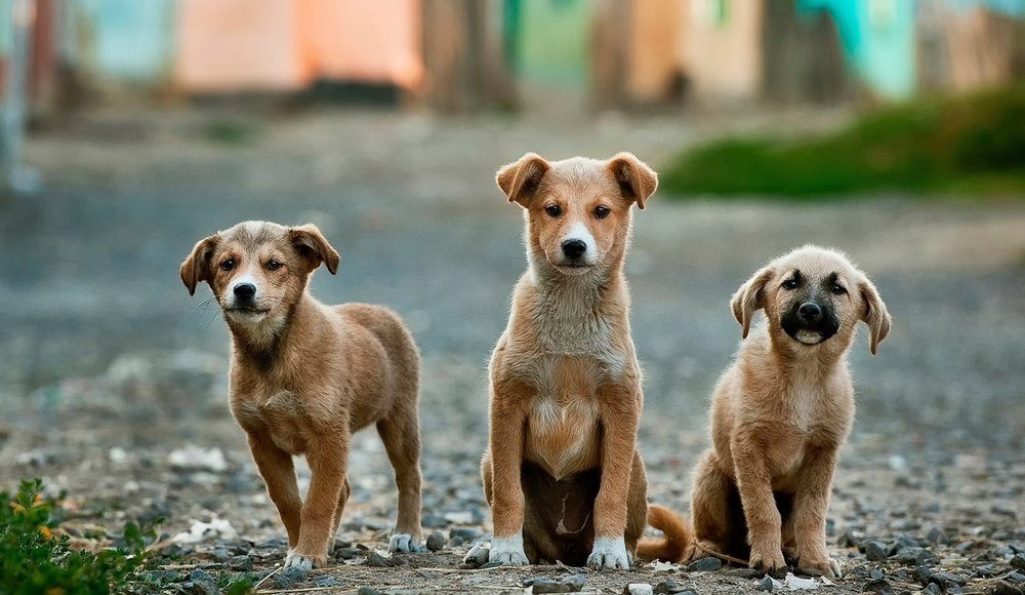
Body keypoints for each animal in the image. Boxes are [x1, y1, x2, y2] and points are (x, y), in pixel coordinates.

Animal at [477, 150, 676, 570]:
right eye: (553, 209)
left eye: (601, 211)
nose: (574, 246)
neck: (570, 310)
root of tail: (564, 550)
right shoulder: (507, 404)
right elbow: (508, 493)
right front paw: (503, 547)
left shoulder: (621, 406)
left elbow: (610, 494)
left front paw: (610, 551)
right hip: (488, 459)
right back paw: (491, 548)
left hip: (637, 466)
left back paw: (620, 550)